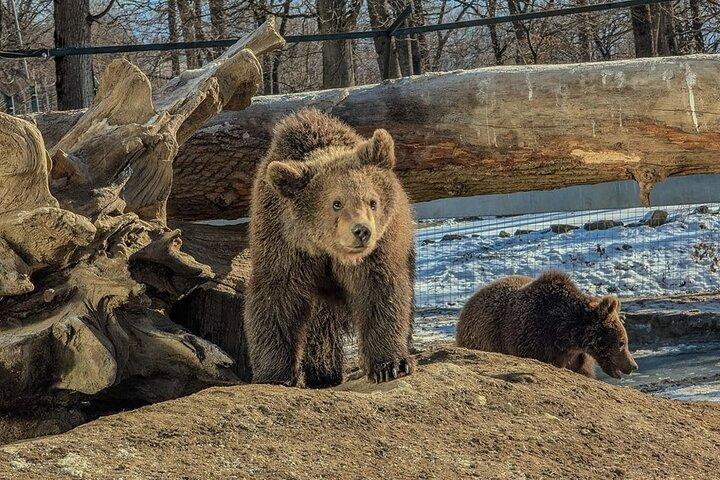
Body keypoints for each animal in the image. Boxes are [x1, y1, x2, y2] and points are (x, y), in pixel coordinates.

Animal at [243, 109, 416, 387]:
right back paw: (322, 374)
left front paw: (390, 364)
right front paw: (274, 375)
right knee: (320, 330)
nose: (361, 230)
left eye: (372, 201)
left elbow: (381, 294)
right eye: (336, 203)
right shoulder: (284, 245)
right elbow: (276, 300)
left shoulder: (379, 251)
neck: (326, 250)